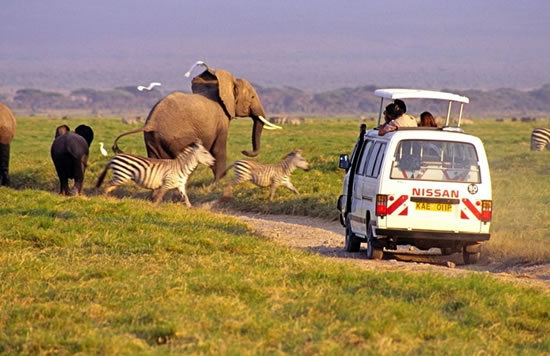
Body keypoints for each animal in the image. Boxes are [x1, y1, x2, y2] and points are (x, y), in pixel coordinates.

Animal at [113, 60, 284, 181]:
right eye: (253, 97)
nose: (244, 151)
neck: (224, 84)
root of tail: (150, 123)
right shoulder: (221, 120)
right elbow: (219, 149)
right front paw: (219, 182)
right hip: (176, 138)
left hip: (152, 139)